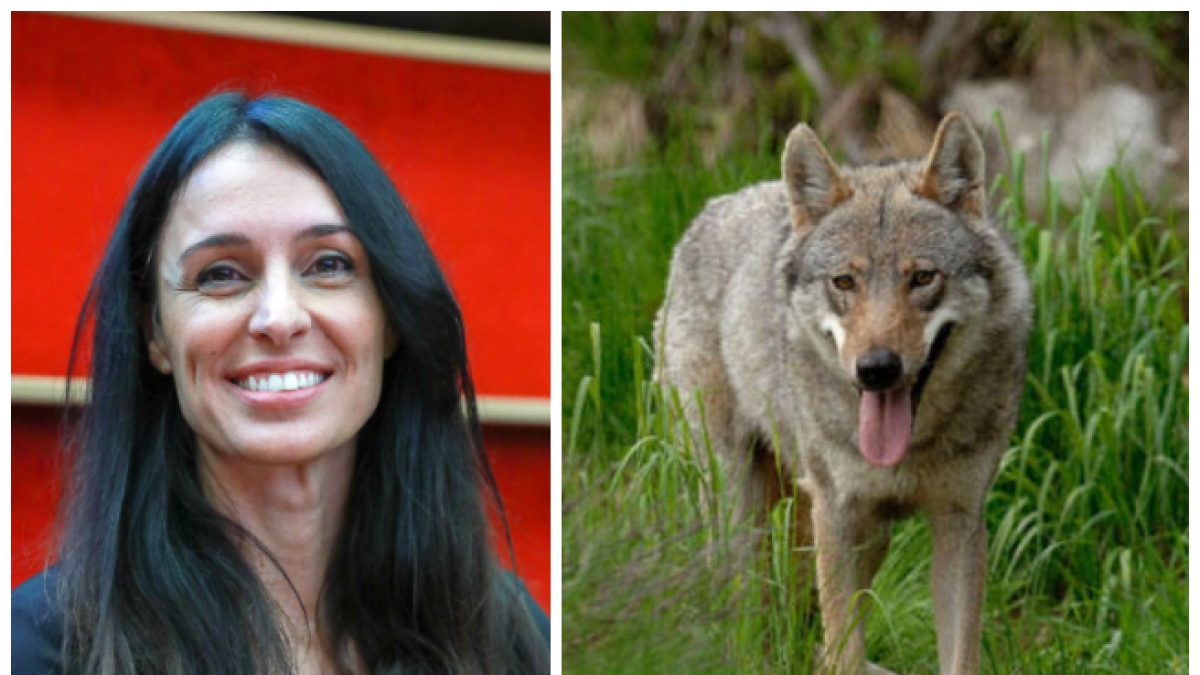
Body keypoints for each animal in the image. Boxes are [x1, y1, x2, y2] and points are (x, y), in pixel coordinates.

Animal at [654, 113, 1031, 675]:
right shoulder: (837, 513)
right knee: (748, 605)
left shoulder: (958, 521)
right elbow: (844, 652)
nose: (876, 369)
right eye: (844, 282)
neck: (913, 449)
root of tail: (712, 207)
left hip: (859, 531)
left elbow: (958, 656)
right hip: (742, 503)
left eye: (923, 278)